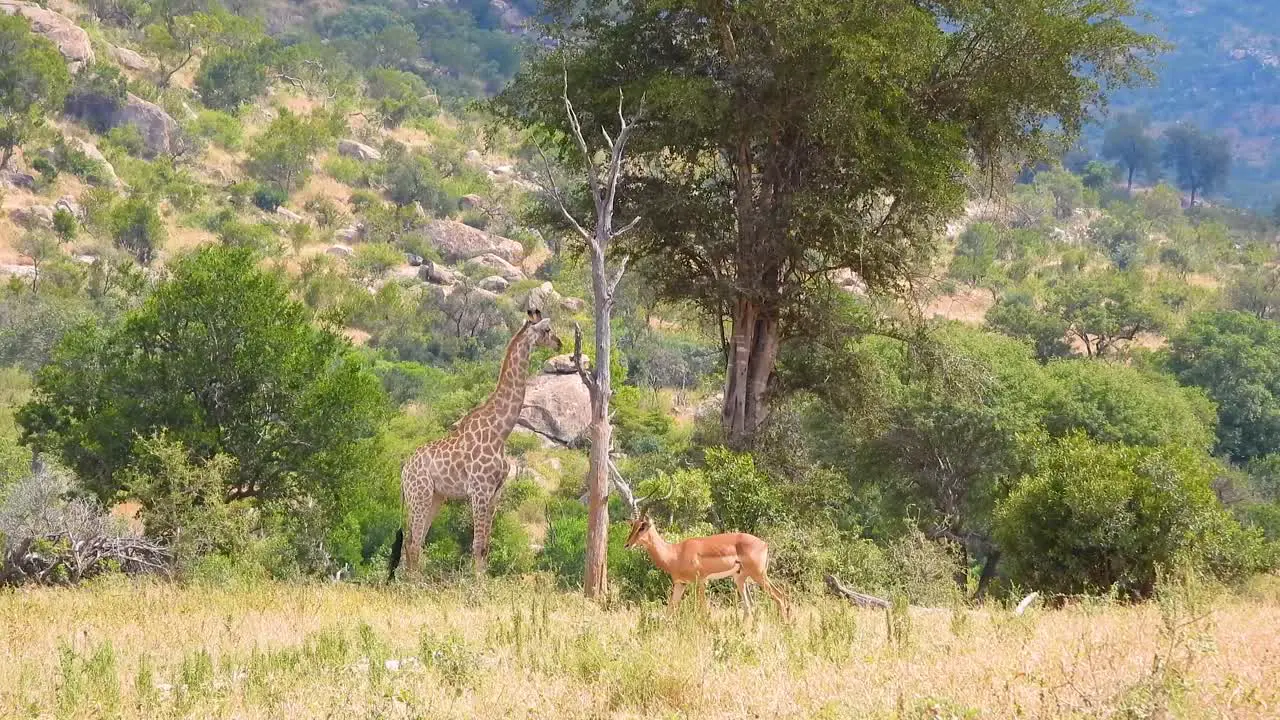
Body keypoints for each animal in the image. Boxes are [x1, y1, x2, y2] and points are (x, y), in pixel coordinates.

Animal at [386, 307, 563, 576]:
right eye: (547, 330)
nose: (559, 343)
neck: (500, 431)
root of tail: (404, 471)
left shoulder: (495, 492)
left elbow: (486, 545)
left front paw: (483, 580)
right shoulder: (480, 490)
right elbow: (478, 545)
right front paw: (476, 583)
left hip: (435, 497)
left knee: (416, 540)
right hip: (420, 494)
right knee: (413, 541)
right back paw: (412, 583)